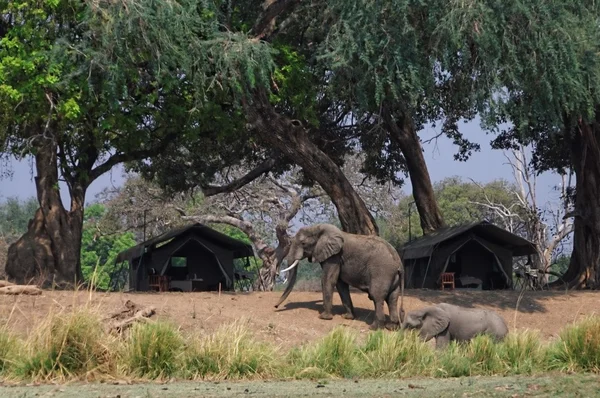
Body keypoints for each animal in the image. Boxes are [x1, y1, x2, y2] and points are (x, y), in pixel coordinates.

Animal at [274, 224, 406, 330]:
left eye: (303, 243)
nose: (275, 306)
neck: (318, 227)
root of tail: (398, 262)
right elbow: (340, 284)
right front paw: (347, 317)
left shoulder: (334, 256)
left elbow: (328, 280)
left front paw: (324, 317)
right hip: (392, 276)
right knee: (392, 298)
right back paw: (391, 327)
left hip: (382, 272)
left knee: (377, 296)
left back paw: (374, 328)